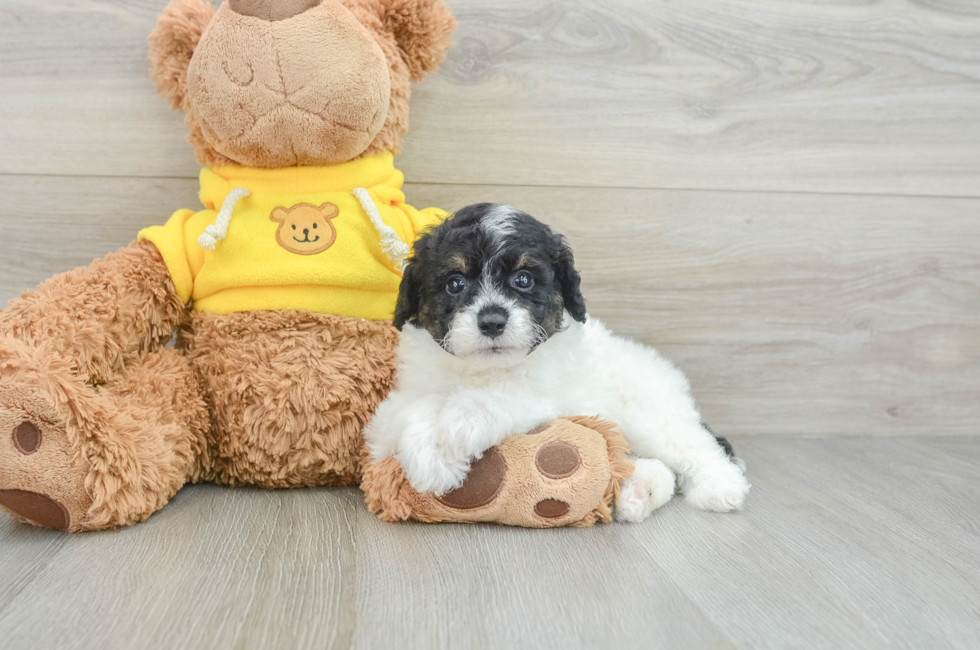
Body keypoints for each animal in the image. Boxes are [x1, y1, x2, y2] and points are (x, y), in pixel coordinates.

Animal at [364, 205, 748, 520]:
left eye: (523, 280)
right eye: (455, 284)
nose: (492, 322)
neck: (482, 369)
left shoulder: (547, 394)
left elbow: (500, 396)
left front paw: (458, 425)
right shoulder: (398, 403)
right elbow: (414, 408)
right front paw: (430, 459)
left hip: (650, 413)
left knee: (694, 446)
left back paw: (721, 488)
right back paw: (636, 492)